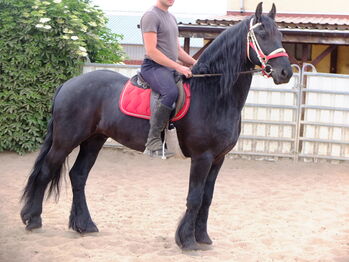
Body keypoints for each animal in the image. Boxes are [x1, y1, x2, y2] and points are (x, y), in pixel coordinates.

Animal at [19, 3, 290, 251]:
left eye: (279, 34)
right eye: (262, 34)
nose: (285, 72)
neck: (212, 94)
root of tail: (68, 84)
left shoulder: (218, 159)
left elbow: (207, 198)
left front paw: (203, 237)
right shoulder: (202, 157)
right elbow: (195, 197)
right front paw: (187, 241)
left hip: (94, 140)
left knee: (78, 176)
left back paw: (84, 225)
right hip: (66, 140)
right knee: (45, 171)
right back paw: (33, 219)